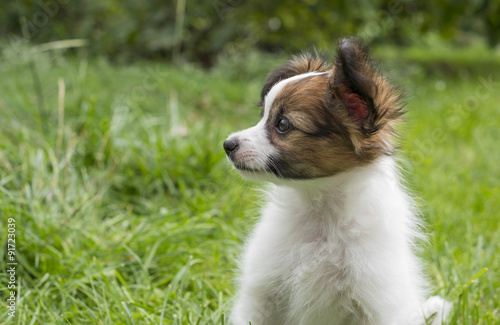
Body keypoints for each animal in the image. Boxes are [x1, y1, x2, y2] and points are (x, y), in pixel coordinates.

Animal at [225, 38, 452, 324]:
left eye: (283, 124)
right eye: (263, 116)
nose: (227, 145)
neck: (321, 212)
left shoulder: (377, 304)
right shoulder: (261, 295)